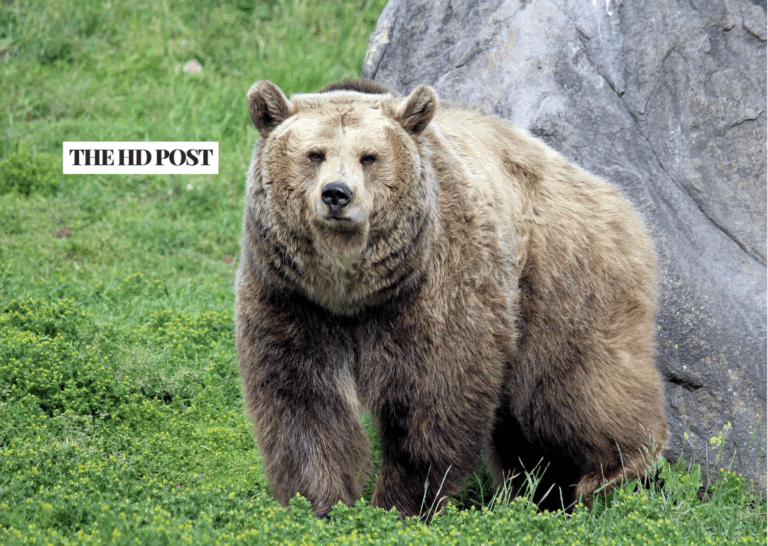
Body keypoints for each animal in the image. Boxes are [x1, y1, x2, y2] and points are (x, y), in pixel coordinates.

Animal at [236, 78, 668, 518]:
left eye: (369, 157)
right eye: (315, 154)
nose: (337, 194)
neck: (352, 292)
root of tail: (613, 194)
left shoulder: (435, 288)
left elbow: (434, 397)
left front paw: (403, 504)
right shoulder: (292, 299)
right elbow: (302, 404)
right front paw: (321, 504)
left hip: (560, 278)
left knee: (571, 388)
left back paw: (615, 471)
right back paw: (542, 493)